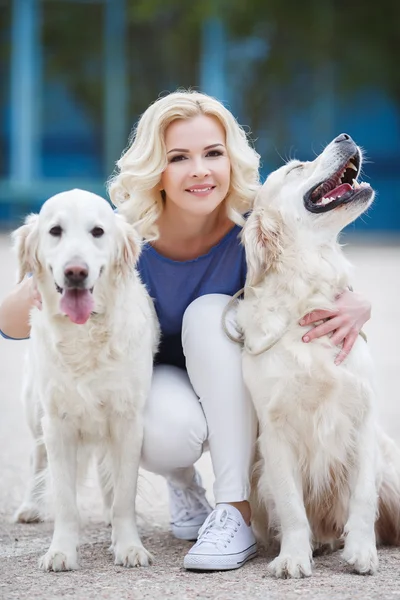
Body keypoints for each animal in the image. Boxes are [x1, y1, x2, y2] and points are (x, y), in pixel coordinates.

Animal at [11, 188, 158, 572]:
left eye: (97, 232)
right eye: (55, 231)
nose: (75, 272)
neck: (86, 332)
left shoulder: (128, 419)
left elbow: (123, 494)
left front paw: (128, 546)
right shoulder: (57, 423)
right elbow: (65, 499)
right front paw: (60, 551)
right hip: (34, 409)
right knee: (36, 458)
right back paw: (30, 506)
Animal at [236, 135, 400, 576]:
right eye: (297, 168)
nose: (345, 137)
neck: (306, 298)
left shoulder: (363, 419)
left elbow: (362, 499)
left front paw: (361, 551)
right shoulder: (275, 432)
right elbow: (292, 506)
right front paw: (294, 556)